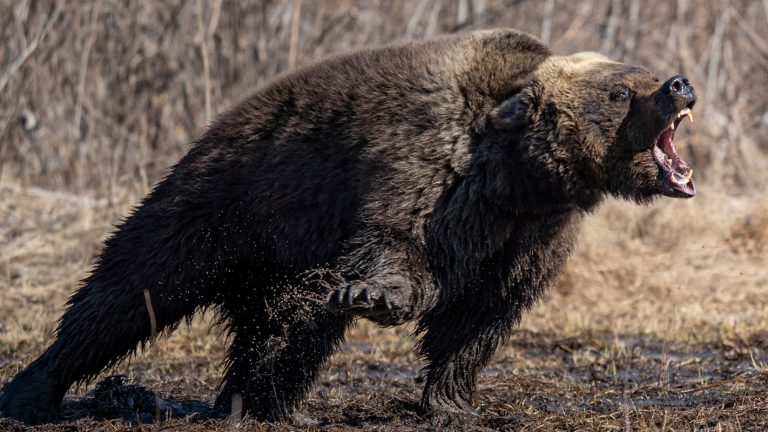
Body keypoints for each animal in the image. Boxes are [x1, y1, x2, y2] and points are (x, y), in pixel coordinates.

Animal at [0, 29, 696, 425]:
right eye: (620, 91)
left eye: (640, 74)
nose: (678, 84)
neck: (520, 177)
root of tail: (215, 126)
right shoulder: (427, 170)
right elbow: (397, 247)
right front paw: (376, 295)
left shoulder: (533, 233)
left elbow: (483, 313)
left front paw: (454, 401)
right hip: (224, 204)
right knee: (131, 289)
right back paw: (34, 390)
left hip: (278, 248)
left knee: (284, 326)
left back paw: (258, 401)